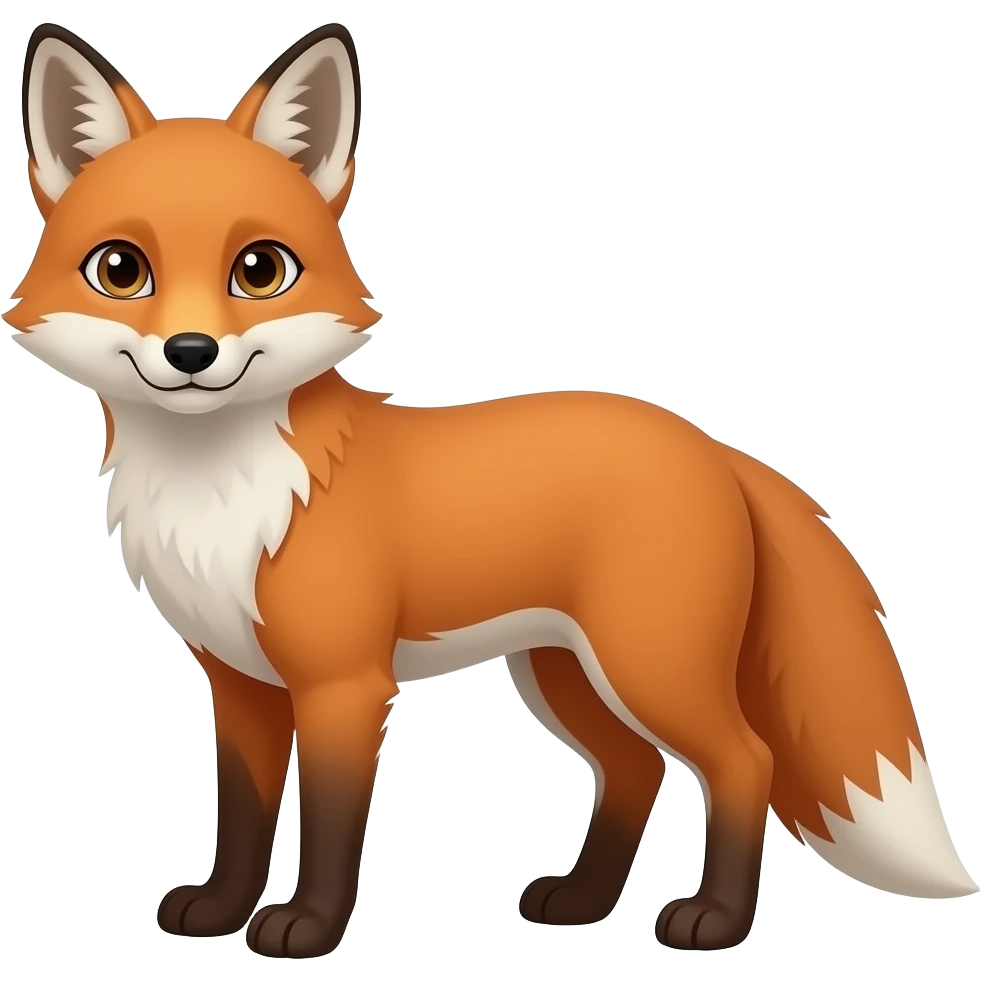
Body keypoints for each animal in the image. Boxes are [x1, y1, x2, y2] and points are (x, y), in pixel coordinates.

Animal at [7, 20, 978, 959]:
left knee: (745, 761)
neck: (219, 492)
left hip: (648, 664)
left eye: (259, 269)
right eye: (122, 269)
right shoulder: (239, 682)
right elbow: (242, 815)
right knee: (635, 769)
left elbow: (330, 823)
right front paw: (218, 910)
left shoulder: (343, 684)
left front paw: (307, 929)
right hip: (563, 672)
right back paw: (581, 902)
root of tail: (710, 444)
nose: (192, 352)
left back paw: (714, 920)